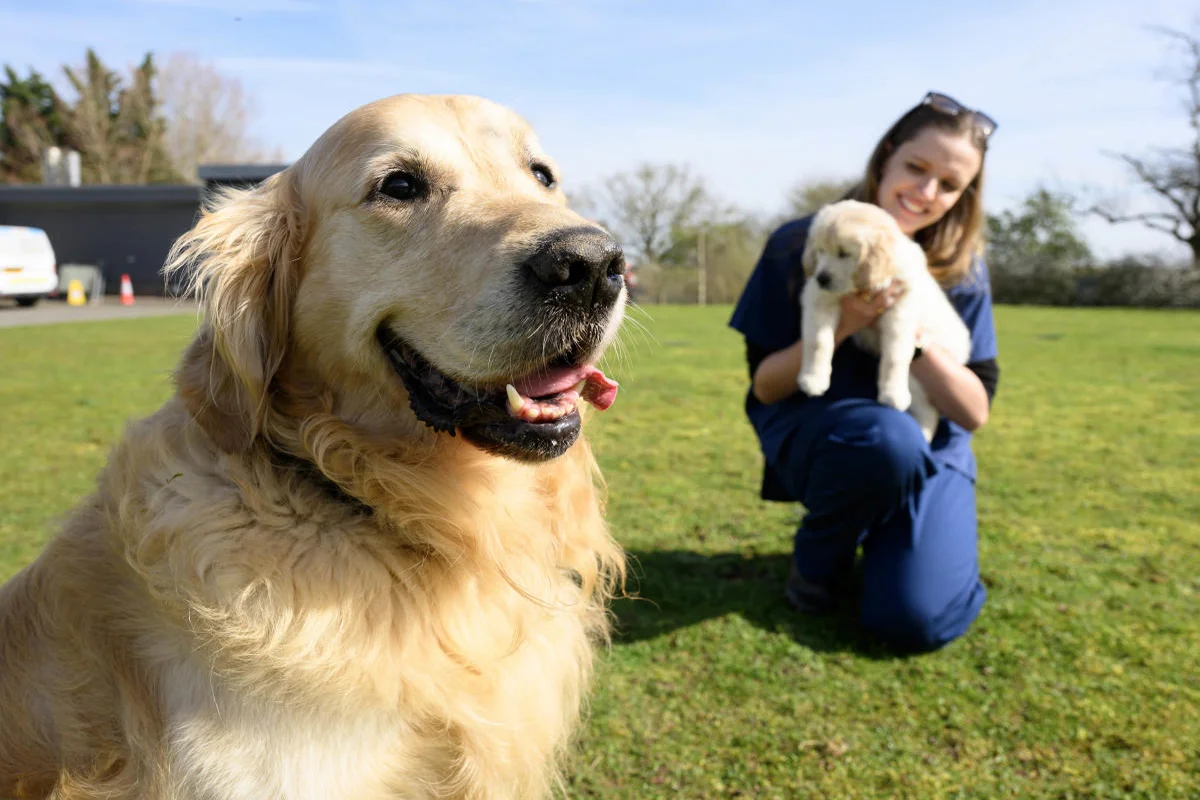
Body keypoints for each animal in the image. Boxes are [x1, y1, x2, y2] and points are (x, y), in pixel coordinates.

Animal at [796, 199, 974, 438]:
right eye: (820, 250)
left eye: (844, 254)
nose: (821, 278)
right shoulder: (819, 298)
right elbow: (819, 342)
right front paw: (813, 379)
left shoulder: (900, 312)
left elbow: (895, 356)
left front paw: (893, 395)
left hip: (920, 379)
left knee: (929, 412)